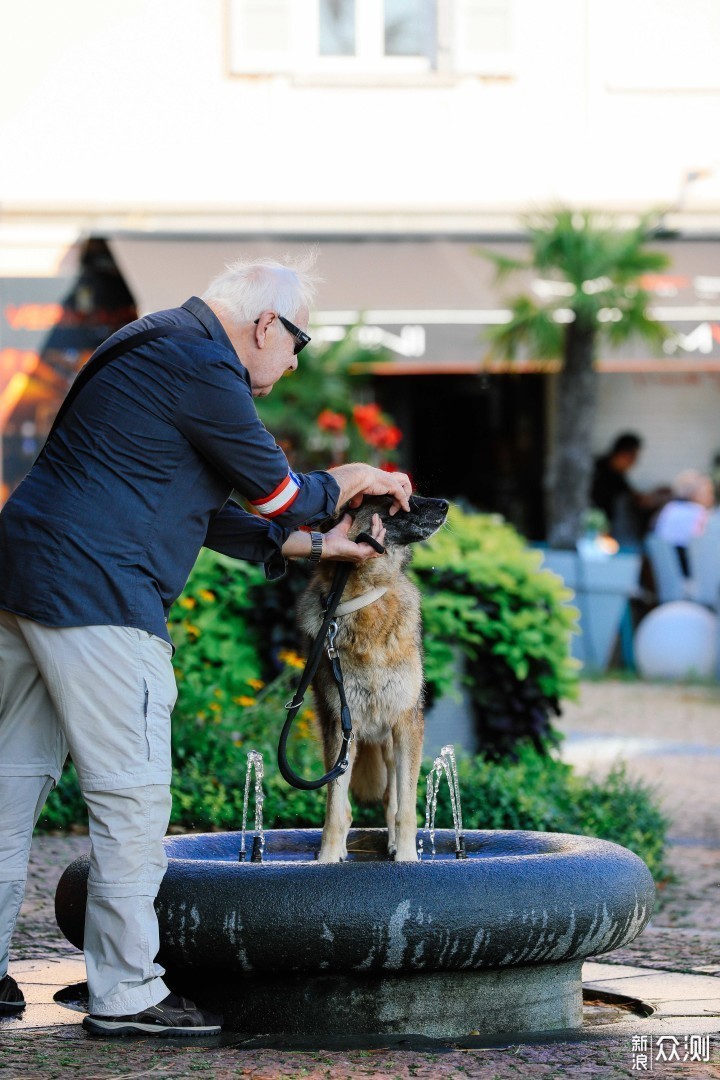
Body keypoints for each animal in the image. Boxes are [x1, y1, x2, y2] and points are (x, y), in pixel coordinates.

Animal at [295, 494, 446, 859]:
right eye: (394, 499)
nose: (446, 505)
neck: (365, 598)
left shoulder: (406, 724)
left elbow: (405, 810)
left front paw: (407, 858)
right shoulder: (339, 725)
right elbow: (335, 810)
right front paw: (326, 859)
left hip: (390, 744)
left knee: (393, 800)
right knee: (350, 807)